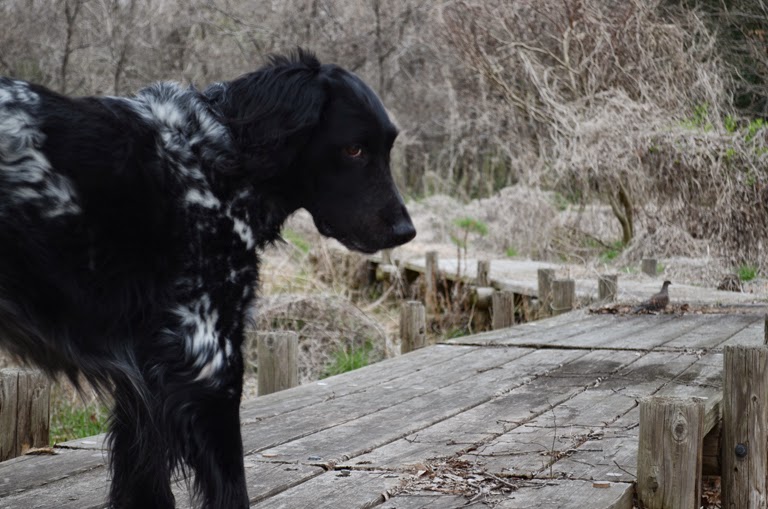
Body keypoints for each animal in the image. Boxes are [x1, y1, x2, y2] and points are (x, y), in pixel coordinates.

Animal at [0, 49, 415, 508]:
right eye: (354, 149)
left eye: (387, 148)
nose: (406, 231)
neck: (216, 158)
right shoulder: (209, 358)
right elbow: (230, 487)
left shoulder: (144, 374)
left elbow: (144, 478)